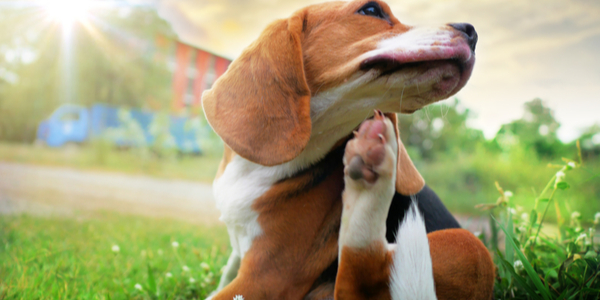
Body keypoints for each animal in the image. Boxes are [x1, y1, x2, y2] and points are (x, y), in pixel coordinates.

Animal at [204, 1, 494, 298]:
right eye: (371, 10)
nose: (472, 32)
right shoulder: (244, 262)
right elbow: (225, 274)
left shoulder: (266, 277)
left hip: (467, 244)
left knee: (359, 280)